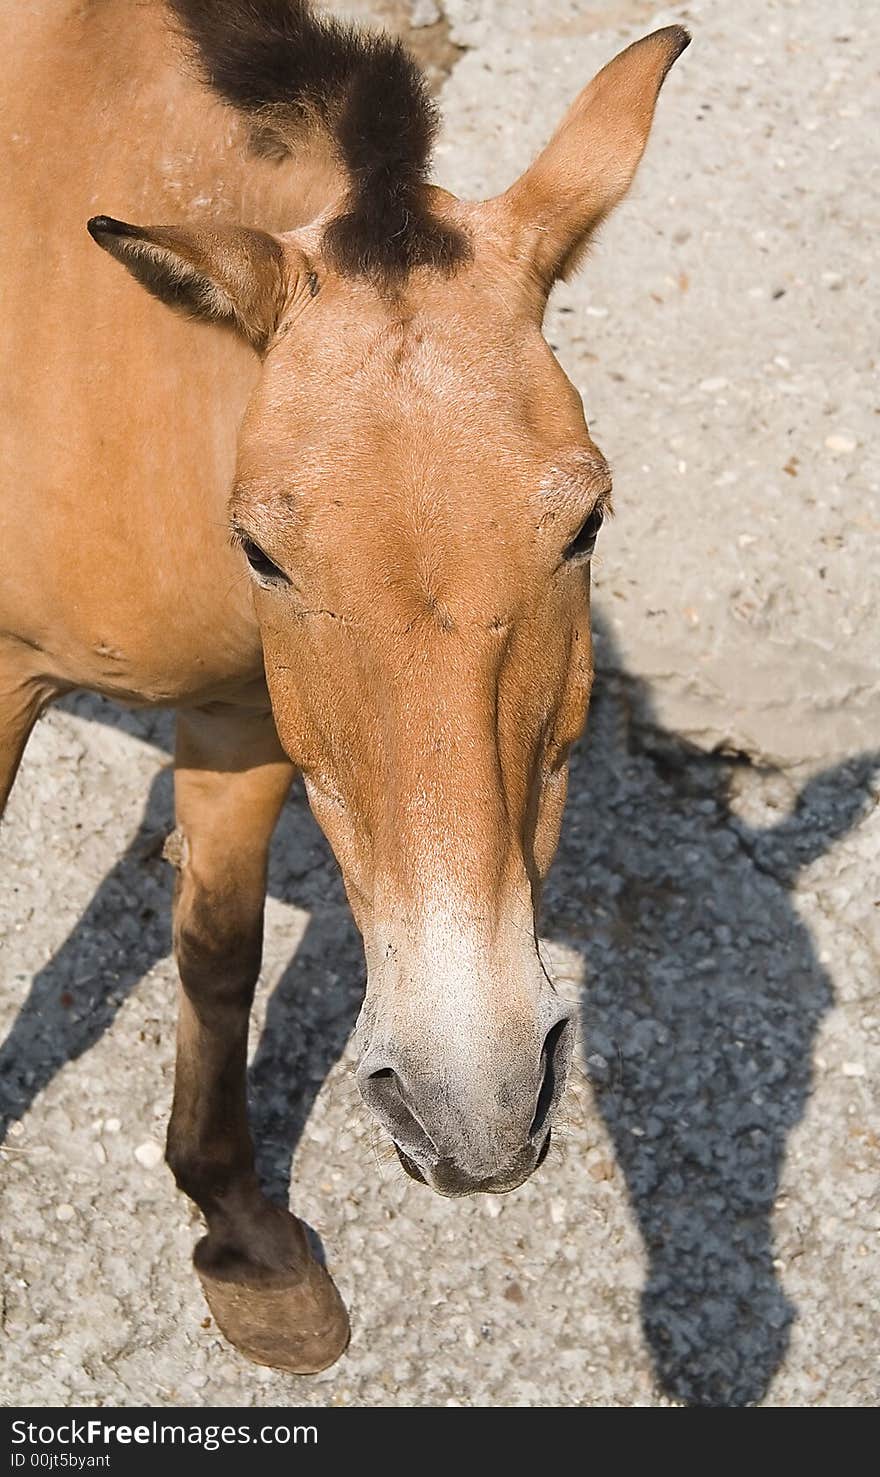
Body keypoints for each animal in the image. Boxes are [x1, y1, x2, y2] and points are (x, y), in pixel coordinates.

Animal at [0, 2, 688, 1370]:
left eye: (586, 520)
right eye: (263, 549)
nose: (473, 1103)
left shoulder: (242, 717)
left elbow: (219, 955)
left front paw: (243, 1238)